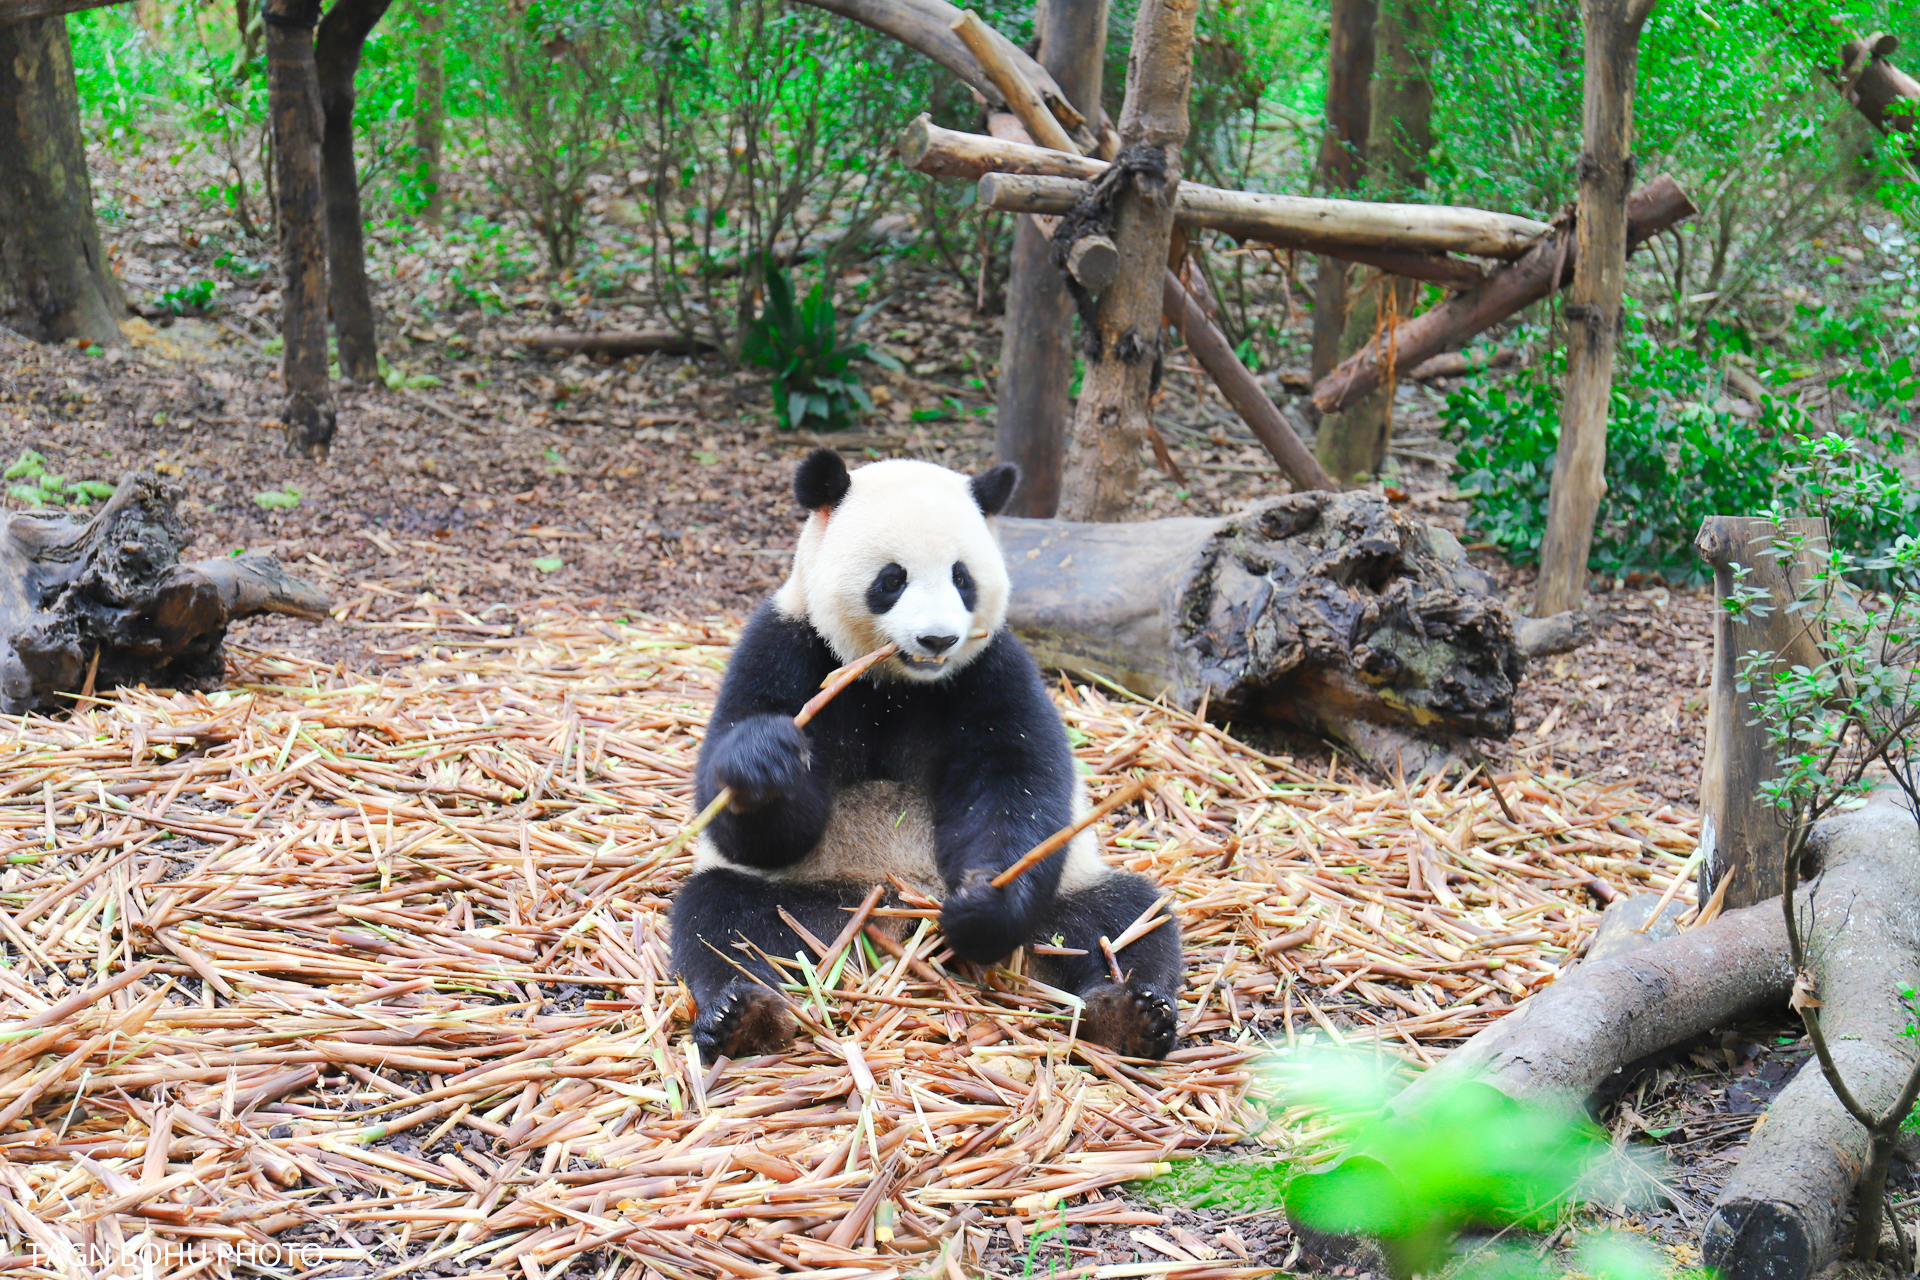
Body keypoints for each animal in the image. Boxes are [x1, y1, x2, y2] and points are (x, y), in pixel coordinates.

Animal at [675, 449, 1182, 1059]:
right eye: (892, 579)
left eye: (963, 578)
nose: (938, 640)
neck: (899, 685)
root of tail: (897, 918)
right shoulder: (788, 644)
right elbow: (749, 822)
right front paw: (765, 763)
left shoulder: (991, 670)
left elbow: (1016, 783)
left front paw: (984, 905)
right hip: (808, 895)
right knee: (725, 920)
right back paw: (744, 1013)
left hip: (1069, 894)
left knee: (1121, 919)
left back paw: (1128, 1013)